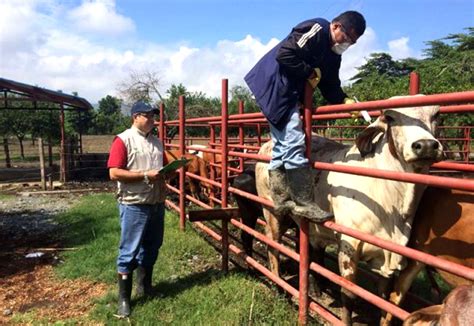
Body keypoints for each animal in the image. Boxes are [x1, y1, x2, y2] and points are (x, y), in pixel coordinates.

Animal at [256, 98, 444, 324]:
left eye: (436, 115)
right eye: (390, 117)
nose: (425, 145)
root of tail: (265, 146)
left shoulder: (389, 256)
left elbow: (384, 298)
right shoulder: (349, 247)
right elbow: (349, 294)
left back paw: (315, 287)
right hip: (272, 212)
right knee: (273, 246)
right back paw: (278, 285)